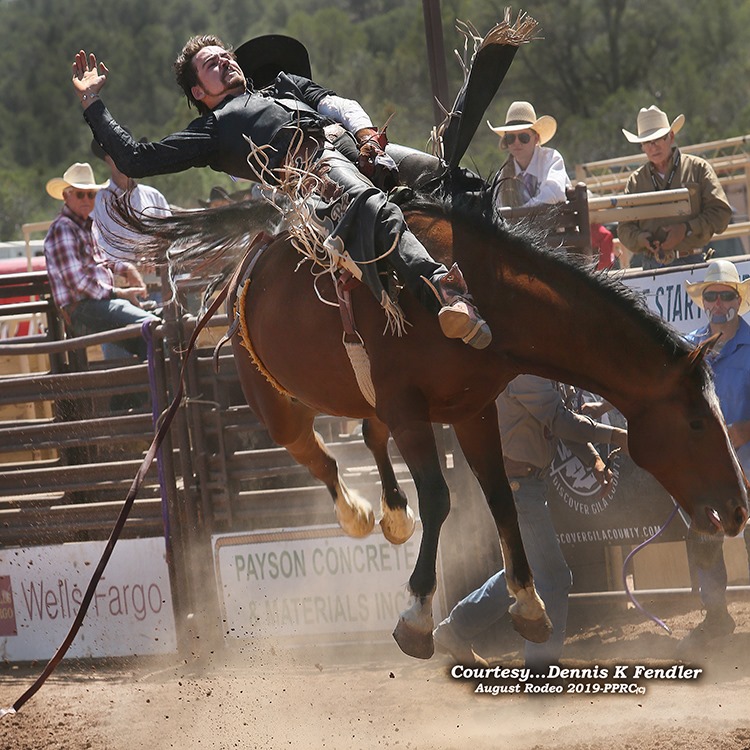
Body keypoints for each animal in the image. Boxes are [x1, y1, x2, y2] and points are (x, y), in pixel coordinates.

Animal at [122, 185, 748, 660]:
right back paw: (357, 512)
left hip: (364, 402)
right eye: (696, 422)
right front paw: (417, 617)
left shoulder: (471, 410)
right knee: (314, 452)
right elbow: (443, 498)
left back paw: (393, 513)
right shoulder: (409, 408)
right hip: (274, 399)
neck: (483, 297)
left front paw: (529, 607)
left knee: (368, 437)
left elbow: (500, 498)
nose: (737, 510)